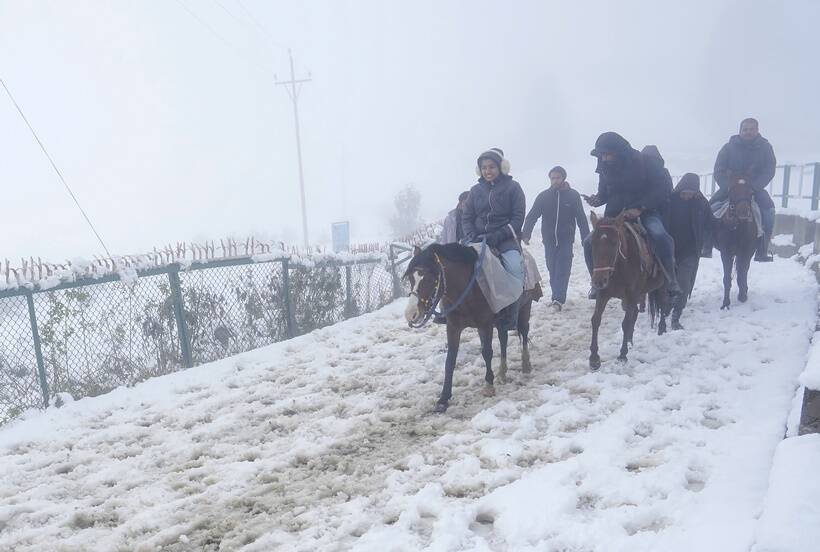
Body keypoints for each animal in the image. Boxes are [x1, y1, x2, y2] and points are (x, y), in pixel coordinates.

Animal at [406, 244, 536, 412]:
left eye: (430, 278)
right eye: (411, 278)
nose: (410, 314)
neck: (467, 289)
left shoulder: (485, 324)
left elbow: (487, 352)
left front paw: (488, 385)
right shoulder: (453, 327)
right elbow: (450, 360)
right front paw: (443, 399)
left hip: (525, 307)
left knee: (524, 331)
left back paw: (525, 364)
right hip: (499, 322)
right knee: (503, 338)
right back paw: (502, 372)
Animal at [588, 213, 668, 368]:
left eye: (614, 243)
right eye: (593, 243)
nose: (598, 281)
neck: (619, 268)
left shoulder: (631, 295)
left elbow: (625, 323)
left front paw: (622, 354)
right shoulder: (603, 294)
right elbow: (596, 320)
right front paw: (594, 358)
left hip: (662, 285)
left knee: (663, 303)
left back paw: (661, 328)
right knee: (635, 312)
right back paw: (630, 340)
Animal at [716, 174, 760, 308]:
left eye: (751, 192)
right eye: (731, 191)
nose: (743, 212)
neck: (738, 229)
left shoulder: (747, 253)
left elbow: (742, 273)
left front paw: (742, 296)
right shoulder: (726, 253)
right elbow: (727, 278)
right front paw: (725, 303)